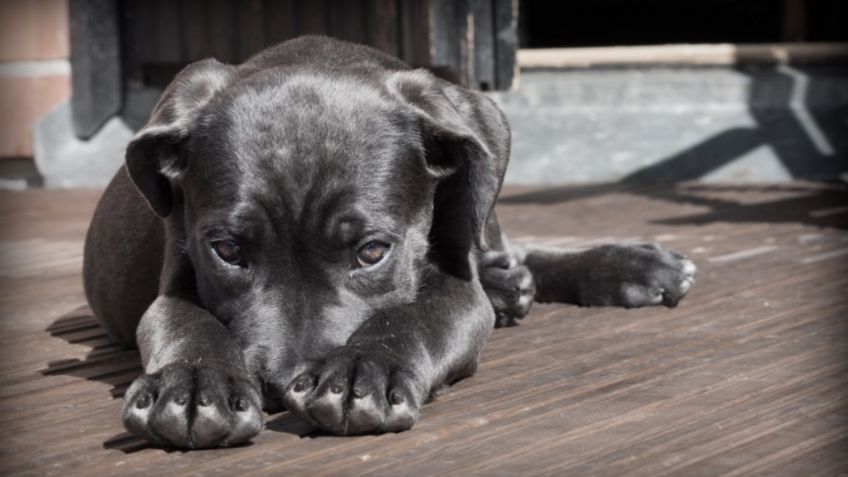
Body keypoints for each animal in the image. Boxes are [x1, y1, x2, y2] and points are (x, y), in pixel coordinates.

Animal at [84, 35, 696, 448]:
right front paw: (192, 384)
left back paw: (628, 267)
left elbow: (415, 315)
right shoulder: (176, 273)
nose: (281, 385)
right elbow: (184, 322)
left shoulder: (455, 285)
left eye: (372, 251)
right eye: (228, 251)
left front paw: (364, 369)